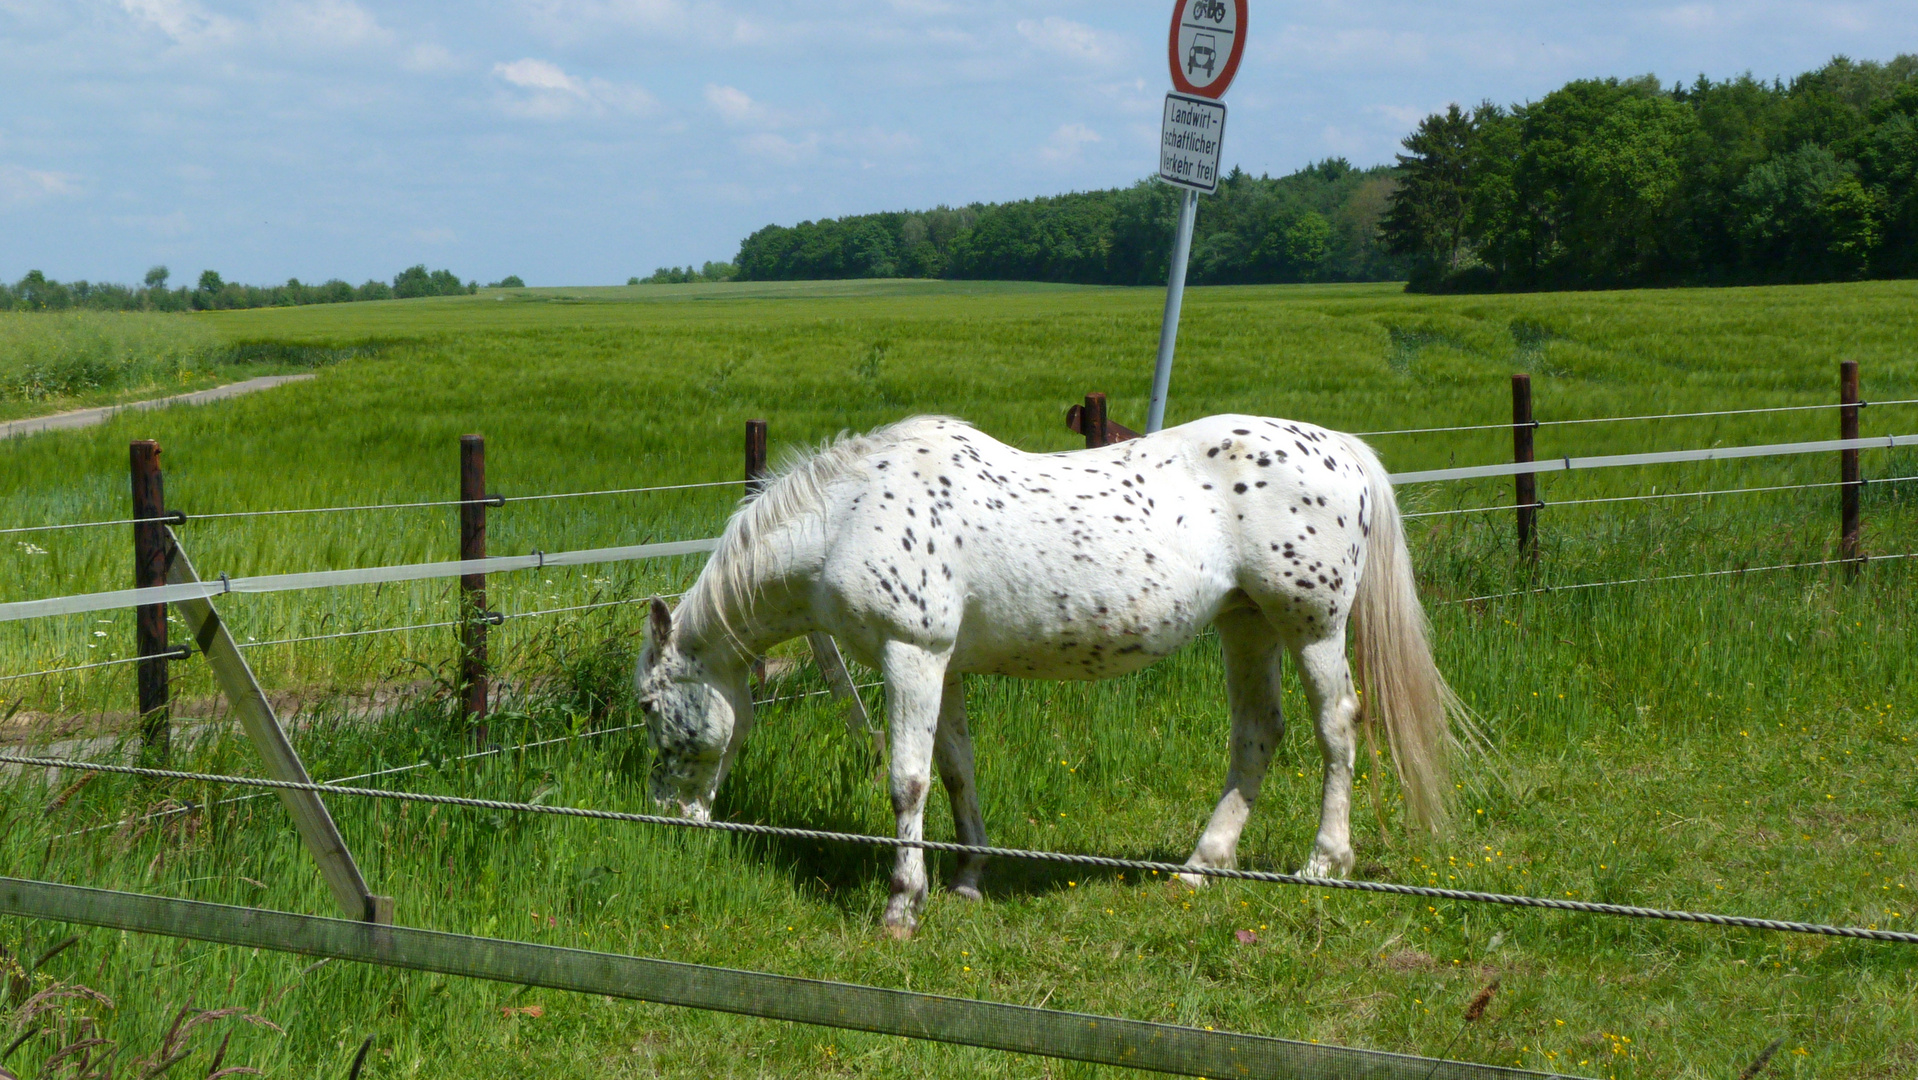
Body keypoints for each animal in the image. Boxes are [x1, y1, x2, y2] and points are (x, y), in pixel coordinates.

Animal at [640, 414, 1465, 939]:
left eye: (648, 705)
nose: (666, 817)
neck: (846, 515)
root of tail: (1342, 450)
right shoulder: (946, 667)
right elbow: (957, 770)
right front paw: (969, 880)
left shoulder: (912, 655)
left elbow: (907, 781)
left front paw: (903, 907)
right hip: (1247, 625)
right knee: (1258, 735)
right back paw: (1201, 867)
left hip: (1311, 626)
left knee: (1337, 727)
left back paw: (1324, 862)